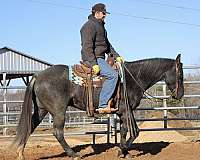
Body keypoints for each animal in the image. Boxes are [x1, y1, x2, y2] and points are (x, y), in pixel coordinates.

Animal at [13, 54, 184, 159]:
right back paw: (74, 154)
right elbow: (135, 132)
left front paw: (124, 151)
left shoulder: (122, 113)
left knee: (30, 126)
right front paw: (121, 150)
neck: (132, 78)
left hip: (42, 109)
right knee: (57, 132)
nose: (180, 94)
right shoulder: (126, 111)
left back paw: (20, 152)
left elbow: (124, 130)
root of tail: (37, 75)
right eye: (180, 75)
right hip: (58, 110)